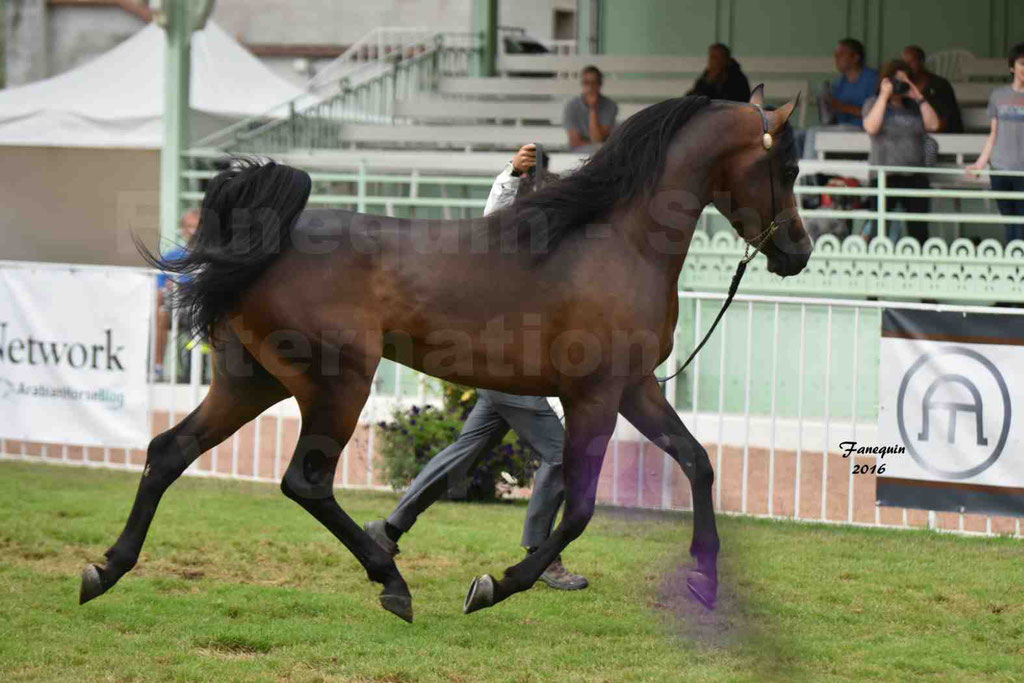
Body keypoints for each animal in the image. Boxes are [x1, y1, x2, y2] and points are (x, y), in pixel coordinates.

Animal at [81, 88, 806, 622]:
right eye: (789, 168)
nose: (797, 252)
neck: (614, 241)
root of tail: (268, 241)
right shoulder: (595, 394)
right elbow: (578, 509)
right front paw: (495, 584)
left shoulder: (636, 387)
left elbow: (697, 461)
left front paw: (706, 579)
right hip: (337, 382)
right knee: (304, 480)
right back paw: (392, 581)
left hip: (250, 379)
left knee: (169, 450)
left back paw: (105, 568)